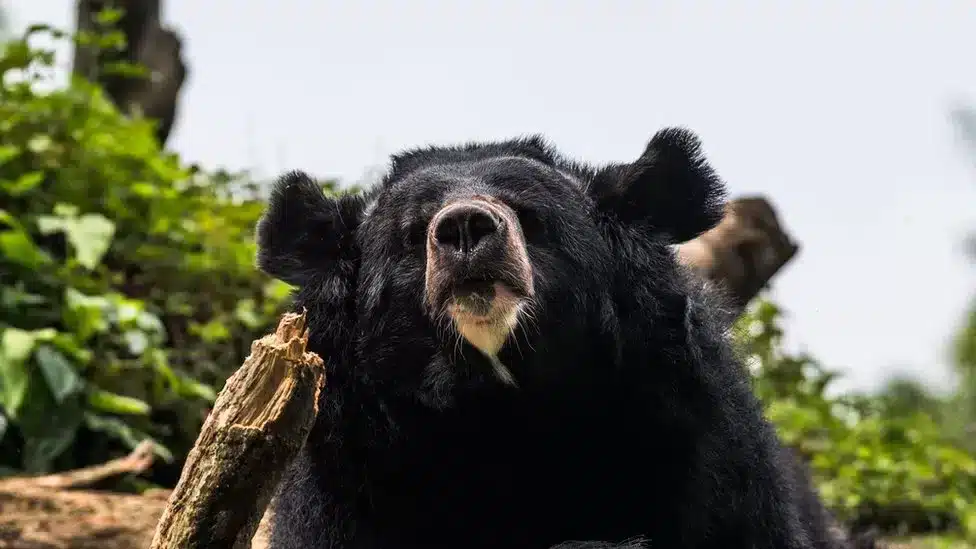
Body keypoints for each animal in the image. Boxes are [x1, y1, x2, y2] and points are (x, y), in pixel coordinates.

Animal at [255, 127, 850, 549]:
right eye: (412, 233)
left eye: (530, 217)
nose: (465, 227)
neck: (507, 408)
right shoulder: (353, 479)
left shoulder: (703, 447)